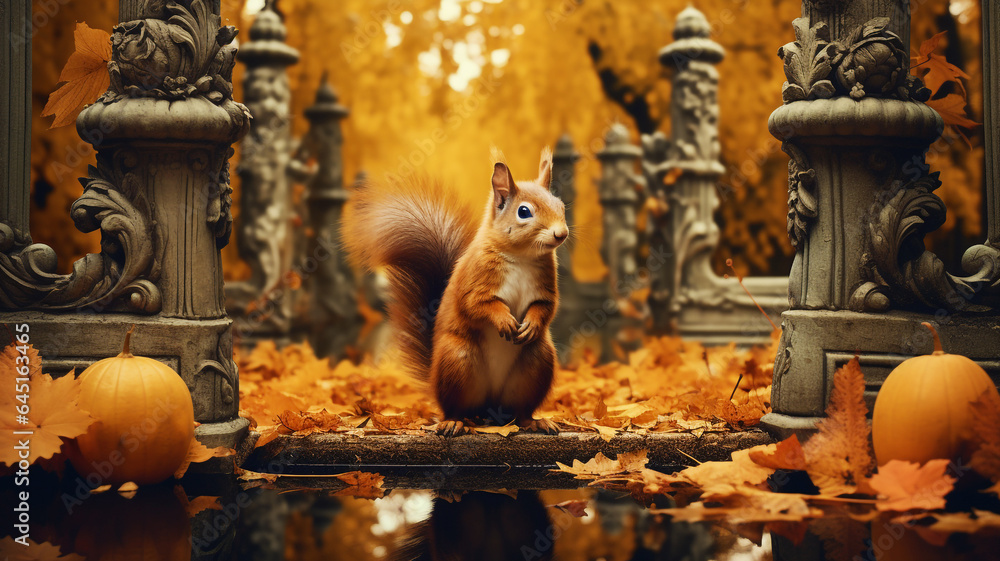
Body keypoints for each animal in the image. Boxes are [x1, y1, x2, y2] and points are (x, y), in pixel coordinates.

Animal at [344, 148, 568, 434]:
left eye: (561, 206)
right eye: (524, 211)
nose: (561, 233)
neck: (522, 257)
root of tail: (489, 409)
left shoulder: (544, 288)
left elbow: (545, 307)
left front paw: (531, 324)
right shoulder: (474, 280)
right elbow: (477, 305)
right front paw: (504, 320)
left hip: (537, 364)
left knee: (520, 412)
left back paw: (535, 422)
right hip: (458, 361)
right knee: (457, 408)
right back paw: (454, 422)